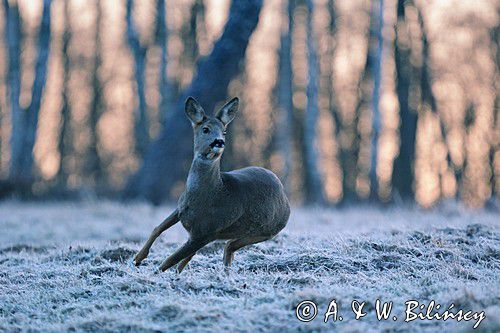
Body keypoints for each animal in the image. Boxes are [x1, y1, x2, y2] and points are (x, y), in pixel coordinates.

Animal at [134, 96, 290, 272]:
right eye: (206, 129)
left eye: (224, 131)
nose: (219, 142)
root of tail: (284, 193)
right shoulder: (181, 210)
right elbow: (157, 229)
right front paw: (138, 259)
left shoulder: (206, 231)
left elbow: (169, 260)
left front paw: (152, 274)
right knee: (218, 249)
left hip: (266, 231)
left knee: (229, 246)